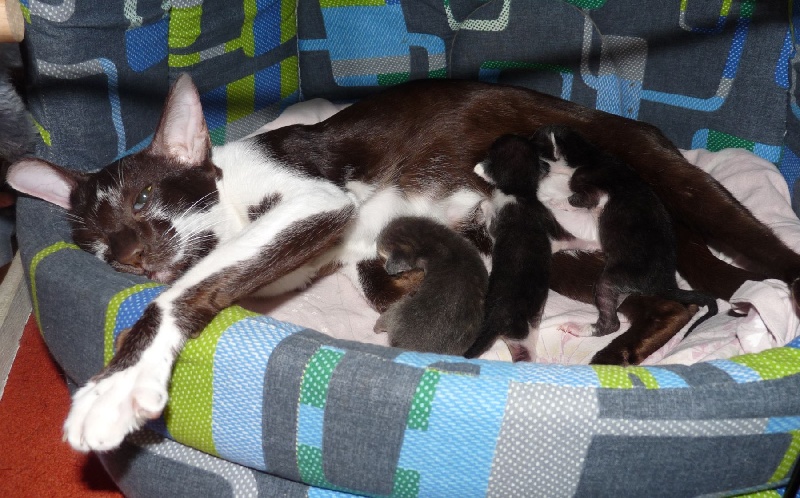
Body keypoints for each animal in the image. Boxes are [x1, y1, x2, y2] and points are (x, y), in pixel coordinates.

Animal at [536, 124, 720, 336]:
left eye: (536, 147)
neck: (589, 155)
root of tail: (667, 283)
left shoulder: (590, 189)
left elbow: (576, 199)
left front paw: (554, 202)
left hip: (612, 278)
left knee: (611, 322)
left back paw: (581, 328)